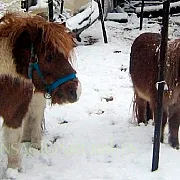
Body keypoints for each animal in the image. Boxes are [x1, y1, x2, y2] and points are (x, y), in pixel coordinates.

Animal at [0, 12, 81, 170]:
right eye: (48, 56)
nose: (76, 91)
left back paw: (35, 144)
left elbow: (12, 145)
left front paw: (13, 170)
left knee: (36, 115)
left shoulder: (13, 113)